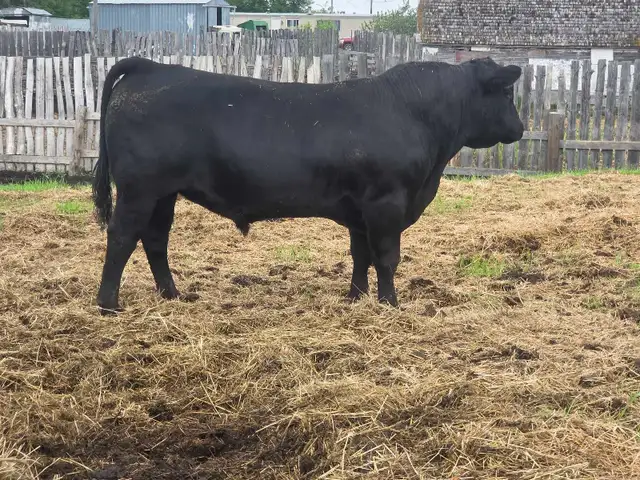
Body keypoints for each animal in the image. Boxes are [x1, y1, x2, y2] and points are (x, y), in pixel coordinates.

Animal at [92, 56, 523, 315]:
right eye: (505, 92)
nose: (520, 129)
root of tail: (151, 66)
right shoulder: (387, 202)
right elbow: (386, 257)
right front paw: (389, 304)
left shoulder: (359, 208)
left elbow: (360, 255)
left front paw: (356, 297)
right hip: (138, 190)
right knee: (122, 236)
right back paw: (108, 304)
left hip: (163, 193)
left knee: (155, 239)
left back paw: (172, 294)